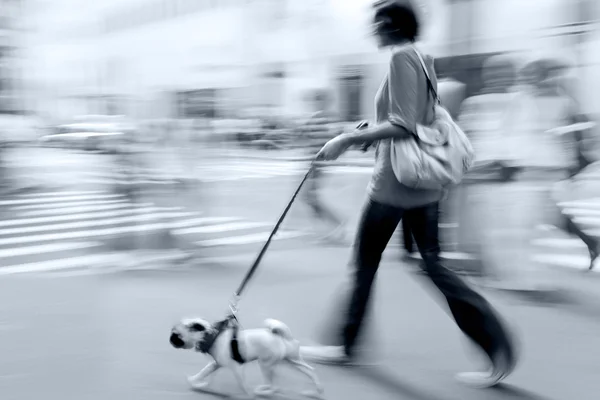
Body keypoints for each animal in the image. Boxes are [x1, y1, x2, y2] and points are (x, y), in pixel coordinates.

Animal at [171, 318, 324, 398]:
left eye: (176, 334)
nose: (170, 339)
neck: (213, 336)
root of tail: (282, 336)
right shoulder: (216, 364)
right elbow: (204, 373)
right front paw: (197, 383)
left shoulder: (236, 368)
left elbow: (242, 384)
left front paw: (246, 394)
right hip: (292, 361)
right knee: (309, 371)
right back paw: (316, 391)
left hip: (265, 364)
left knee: (271, 384)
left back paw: (263, 391)